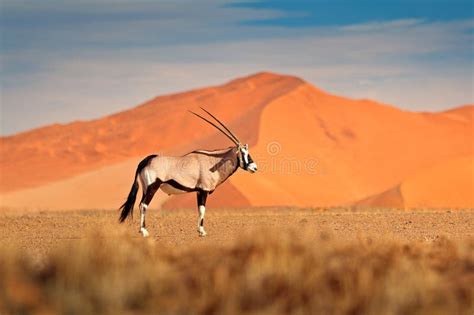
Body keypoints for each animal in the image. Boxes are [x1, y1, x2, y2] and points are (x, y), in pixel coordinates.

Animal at [120, 108, 258, 237]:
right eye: (244, 153)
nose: (254, 168)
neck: (213, 161)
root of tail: (146, 161)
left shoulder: (198, 191)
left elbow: (199, 210)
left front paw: (200, 230)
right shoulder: (204, 190)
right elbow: (202, 210)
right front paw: (202, 231)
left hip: (145, 188)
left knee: (140, 205)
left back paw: (141, 230)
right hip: (152, 187)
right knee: (143, 205)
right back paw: (144, 231)